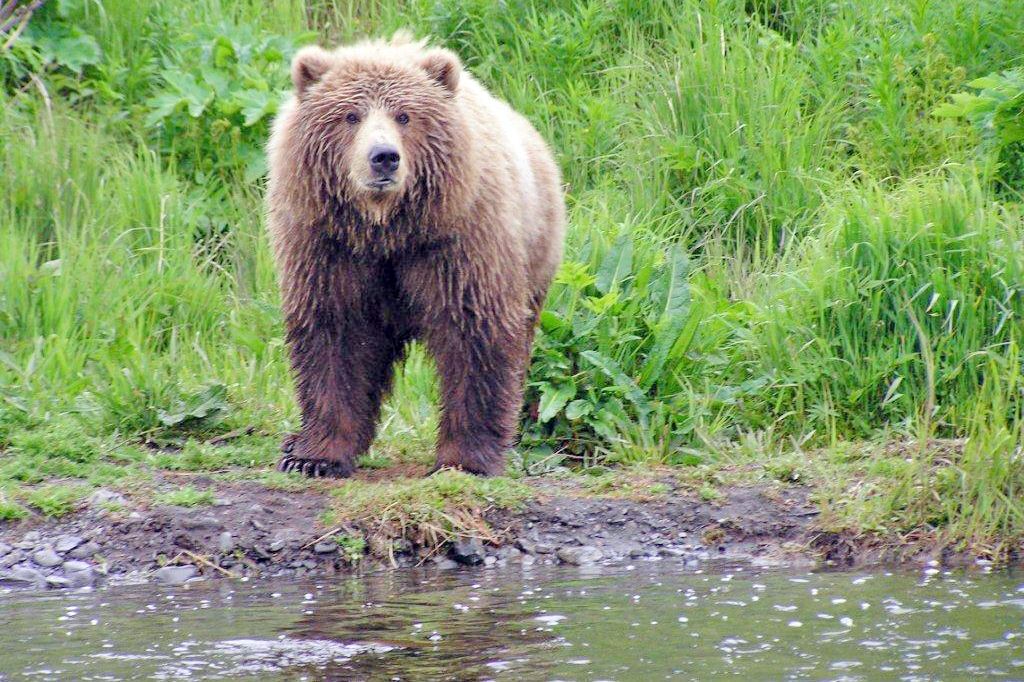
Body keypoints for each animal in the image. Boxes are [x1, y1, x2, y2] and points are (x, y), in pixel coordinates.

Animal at [264, 33, 569, 477]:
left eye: (404, 116)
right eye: (350, 115)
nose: (384, 157)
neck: (386, 229)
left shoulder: (457, 244)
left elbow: (473, 335)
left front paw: (465, 460)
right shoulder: (329, 247)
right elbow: (335, 333)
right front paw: (315, 456)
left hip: (535, 258)